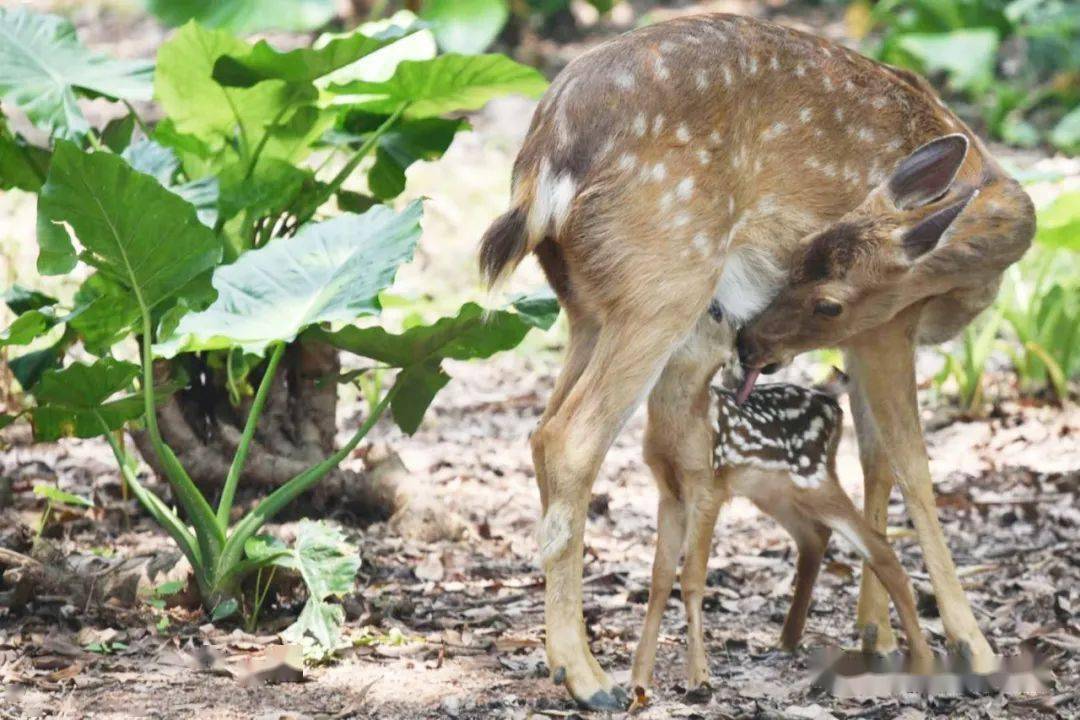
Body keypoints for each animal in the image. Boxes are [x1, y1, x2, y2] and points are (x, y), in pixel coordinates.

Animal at [477, 11, 1032, 708]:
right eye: (815, 287)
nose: (750, 345)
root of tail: (542, 163)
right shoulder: (885, 327)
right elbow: (915, 471)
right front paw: (974, 648)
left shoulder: (862, 342)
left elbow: (875, 465)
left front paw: (877, 637)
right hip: (665, 277)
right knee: (570, 438)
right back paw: (587, 677)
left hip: (586, 305)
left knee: (540, 430)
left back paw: (572, 662)